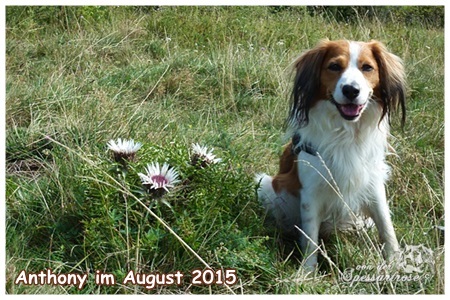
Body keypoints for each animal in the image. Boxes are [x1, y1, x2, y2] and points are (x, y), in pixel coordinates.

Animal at [256, 39, 408, 270]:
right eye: (334, 66)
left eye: (367, 68)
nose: (351, 90)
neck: (347, 133)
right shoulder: (311, 192)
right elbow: (310, 238)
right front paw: (307, 272)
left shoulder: (373, 182)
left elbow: (386, 224)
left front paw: (395, 262)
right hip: (268, 185)